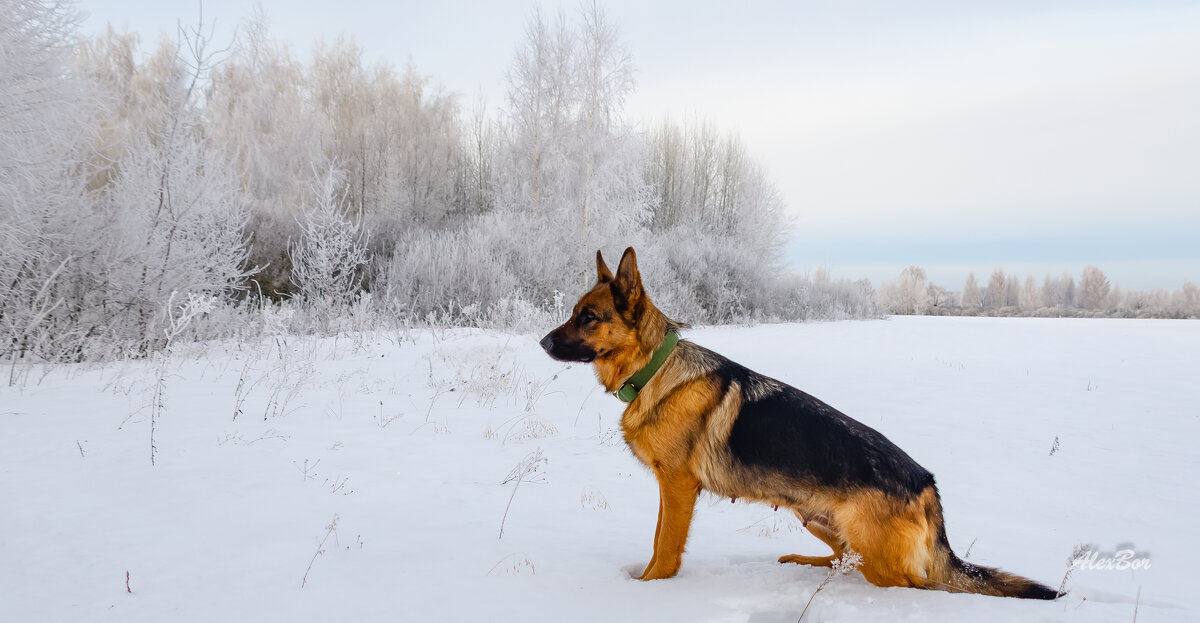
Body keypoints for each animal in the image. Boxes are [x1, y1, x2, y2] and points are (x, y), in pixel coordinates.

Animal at [540, 247, 1056, 600]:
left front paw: (649, 591)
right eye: (575, 313)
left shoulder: (678, 486)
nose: (542, 342)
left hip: (877, 554)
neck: (655, 369)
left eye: (589, 317)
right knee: (843, 559)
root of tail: (927, 482)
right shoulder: (672, 489)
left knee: (919, 585)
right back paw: (802, 562)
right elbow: (655, 540)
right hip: (815, 519)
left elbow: (665, 548)